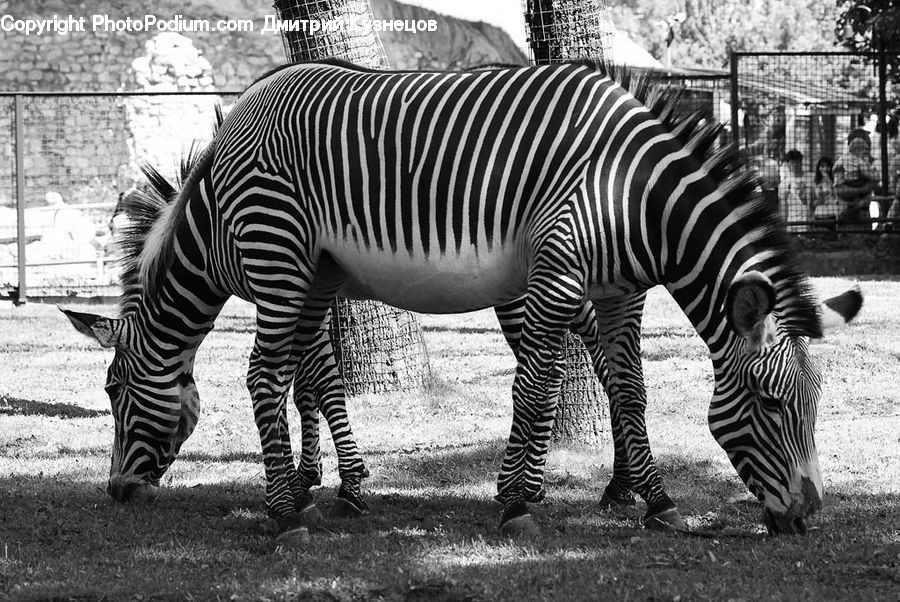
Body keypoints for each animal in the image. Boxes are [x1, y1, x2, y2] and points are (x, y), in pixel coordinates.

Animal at [63, 59, 860, 539]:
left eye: (812, 406)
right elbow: (536, 385)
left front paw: (657, 501)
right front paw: (514, 503)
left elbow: (626, 388)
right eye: (771, 406)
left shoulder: (617, 292)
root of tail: (244, 107)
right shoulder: (558, 269)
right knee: (263, 375)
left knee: (278, 374)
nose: (808, 518)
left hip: (305, 268)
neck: (633, 193)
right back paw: (285, 514)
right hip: (283, 255)